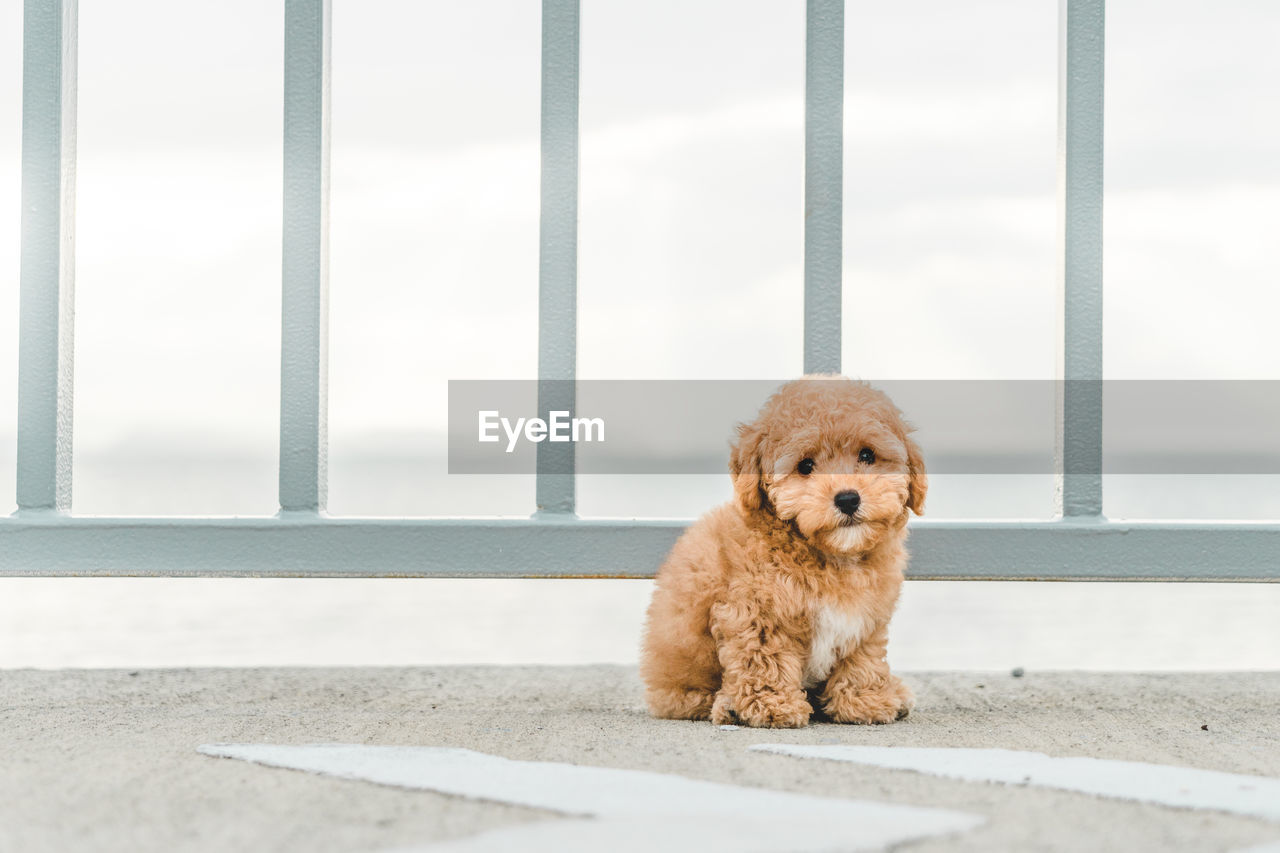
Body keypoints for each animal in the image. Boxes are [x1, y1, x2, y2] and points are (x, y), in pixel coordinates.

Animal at [645, 373, 926, 722]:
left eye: (867, 455)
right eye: (805, 465)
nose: (848, 499)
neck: (831, 556)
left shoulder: (865, 617)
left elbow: (862, 658)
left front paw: (864, 701)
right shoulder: (755, 611)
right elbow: (764, 659)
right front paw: (770, 705)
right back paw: (728, 706)